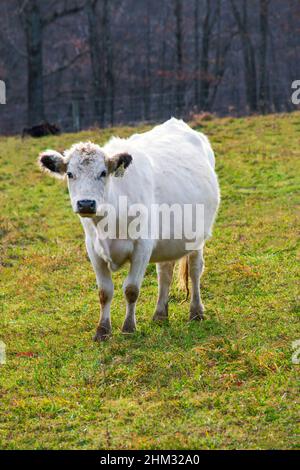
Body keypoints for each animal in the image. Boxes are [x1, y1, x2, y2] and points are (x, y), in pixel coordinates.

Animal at [38, 118, 219, 342]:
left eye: (103, 173)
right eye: (70, 174)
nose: (86, 204)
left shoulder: (142, 247)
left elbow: (131, 289)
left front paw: (128, 327)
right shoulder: (93, 249)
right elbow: (104, 292)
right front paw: (102, 330)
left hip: (197, 238)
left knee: (194, 270)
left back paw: (196, 312)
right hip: (168, 241)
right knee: (165, 273)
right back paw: (160, 315)